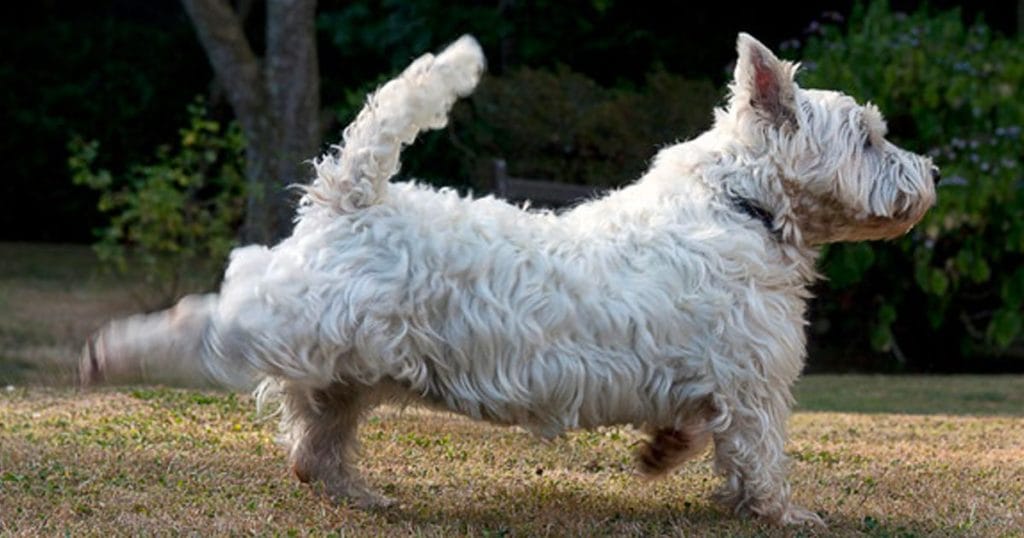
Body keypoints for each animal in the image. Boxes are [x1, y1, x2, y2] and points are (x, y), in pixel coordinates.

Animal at [83, 33, 937, 524]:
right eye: (868, 136)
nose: (929, 173)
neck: (745, 204)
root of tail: (349, 195)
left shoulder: (711, 380)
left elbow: (700, 434)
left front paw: (662, 457)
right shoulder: (754, 381)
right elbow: (759, 455)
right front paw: (783, 514)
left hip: (346, 370)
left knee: (312, 449)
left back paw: (364, 494)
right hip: (288, 321)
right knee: (201, 327)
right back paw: (106, 353)